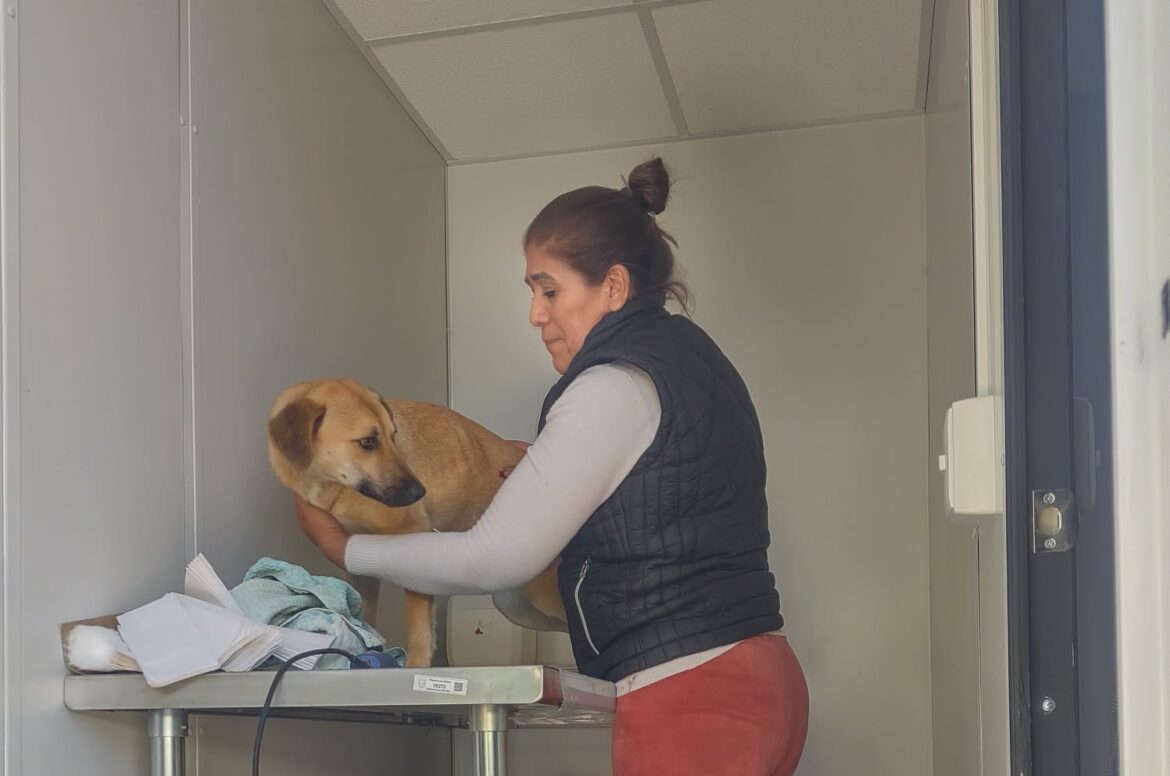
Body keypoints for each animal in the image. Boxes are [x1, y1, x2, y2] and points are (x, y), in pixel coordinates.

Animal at [267, 378, 567, 668]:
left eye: (394, 436)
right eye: (368, 442)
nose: (419, 493)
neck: (328, 484)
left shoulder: (412, 537)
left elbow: (416, 622)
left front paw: (416, 664)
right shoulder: (360, 563)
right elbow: (365, 615)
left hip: (543, 595)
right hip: (521, 607)